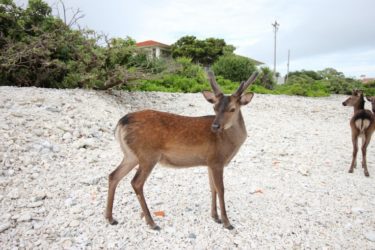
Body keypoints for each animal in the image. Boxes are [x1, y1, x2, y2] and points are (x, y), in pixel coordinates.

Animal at [105, 71, 258, 230]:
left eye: (232, 109)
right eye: (214, 108)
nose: (215, 126)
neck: (228, 143)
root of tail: (121, 122)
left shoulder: (209, 162)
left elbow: (212, 188)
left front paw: (215, 217)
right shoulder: (217, 160)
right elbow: (221, 189)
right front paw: (227, 222)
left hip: (131, 155)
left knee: (113, 175)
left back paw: (110, 218)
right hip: (148, 155)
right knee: (136, 182)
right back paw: (152, 222)